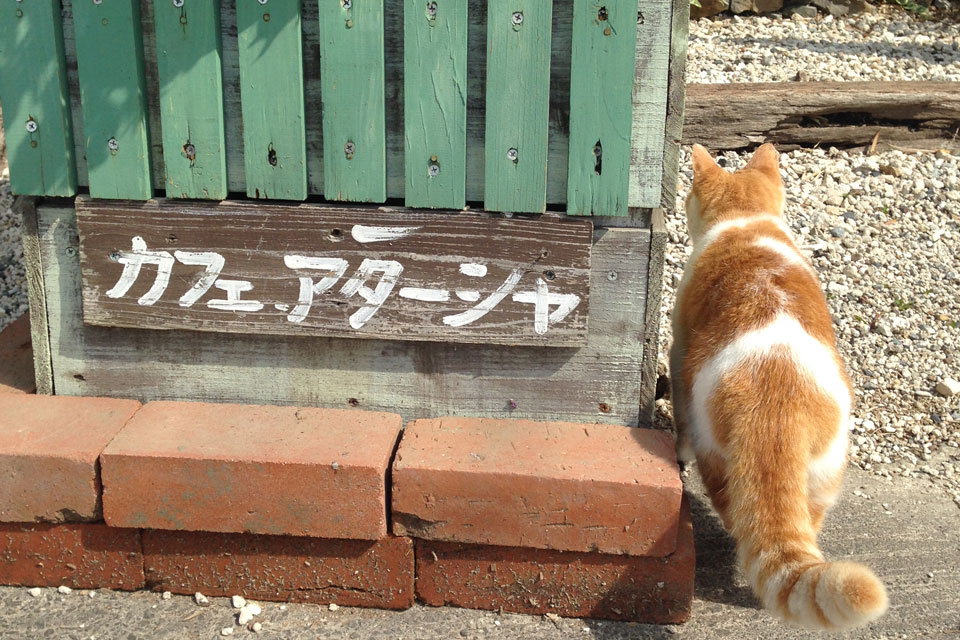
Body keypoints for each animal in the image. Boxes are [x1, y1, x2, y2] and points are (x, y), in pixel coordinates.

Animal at [672, 142, 888, 628]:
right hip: (826, 468)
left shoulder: (678, 345)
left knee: (738, 515)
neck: (747, 222)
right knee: (806, 520)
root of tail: (778, 406)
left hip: (717, 450)